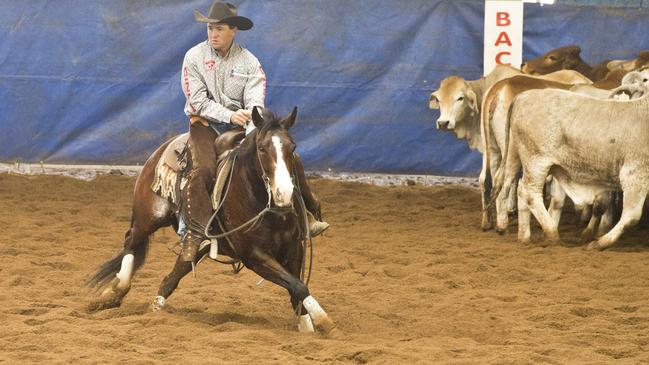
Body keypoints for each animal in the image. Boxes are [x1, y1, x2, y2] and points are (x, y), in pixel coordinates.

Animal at [86, 107, 336, 336]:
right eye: (262, 148)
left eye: (292, 148)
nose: (283, 193)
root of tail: (160, 150)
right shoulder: (254, 256)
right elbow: (299, 286)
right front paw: (325, 322)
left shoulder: (294, 248)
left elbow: (297, 288)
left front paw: (308, 328)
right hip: (149, 216)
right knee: (131, 241)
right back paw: (115, 291)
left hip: (197, 246)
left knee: (170, 277)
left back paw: (154, 308)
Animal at [488, 87, 648, 250]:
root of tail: (523, 96)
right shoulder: (635, 173)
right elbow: (631, 216)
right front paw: (598, 243)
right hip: (536, 161)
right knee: (527, 192)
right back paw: (551, 233)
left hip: (513, 155)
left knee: (506, 183)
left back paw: (521, 235)